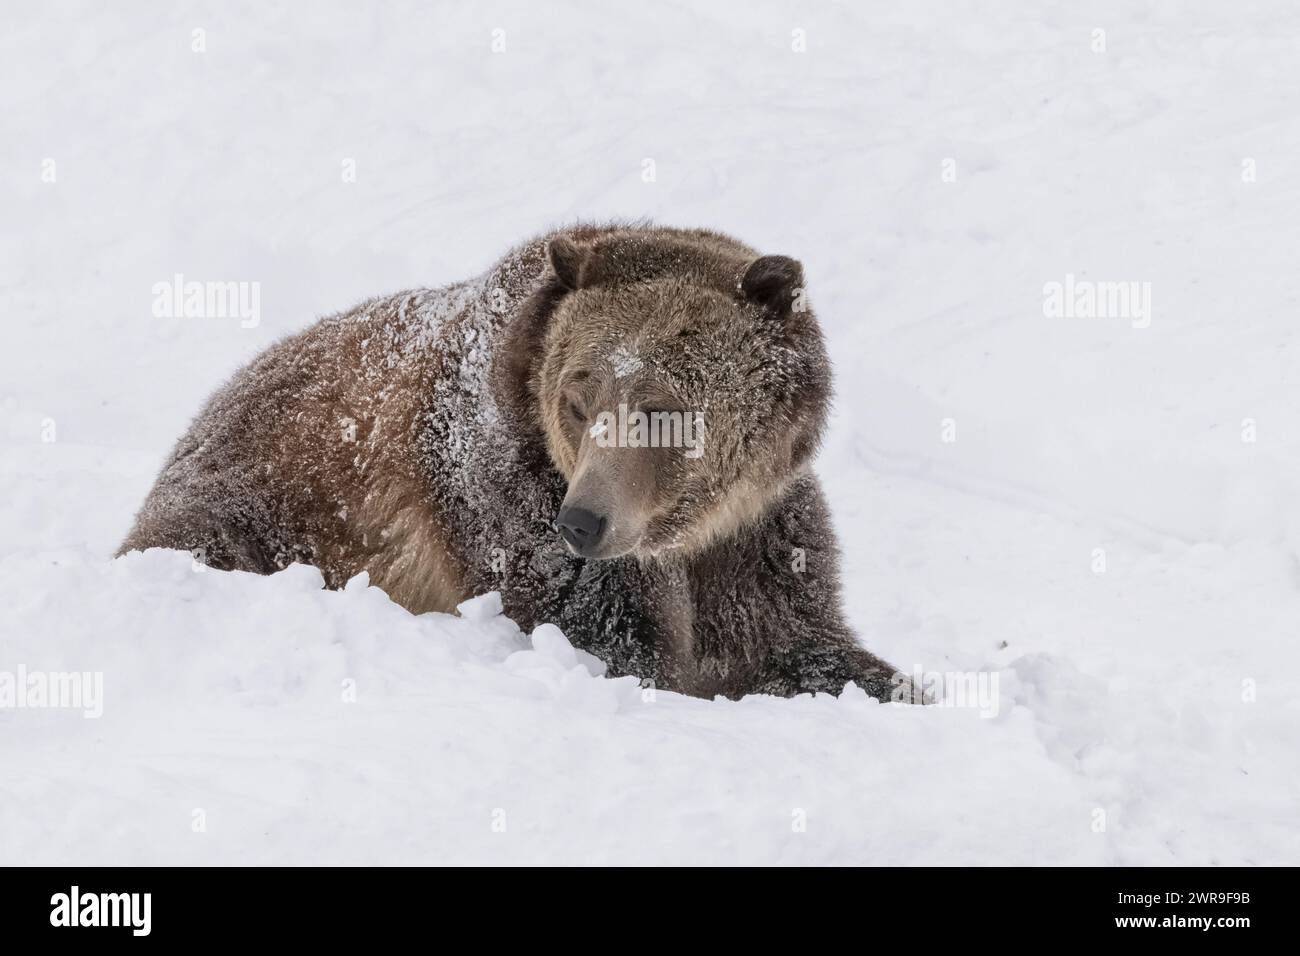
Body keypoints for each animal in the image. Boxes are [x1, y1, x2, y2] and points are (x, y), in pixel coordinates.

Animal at [124, 223, 915, 702]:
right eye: (579, 398)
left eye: (662, 408)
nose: (584, 522)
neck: (687, 536)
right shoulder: (503, 497)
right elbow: (614, 643)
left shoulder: (756, 541)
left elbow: (808, 644)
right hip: (260, 504)